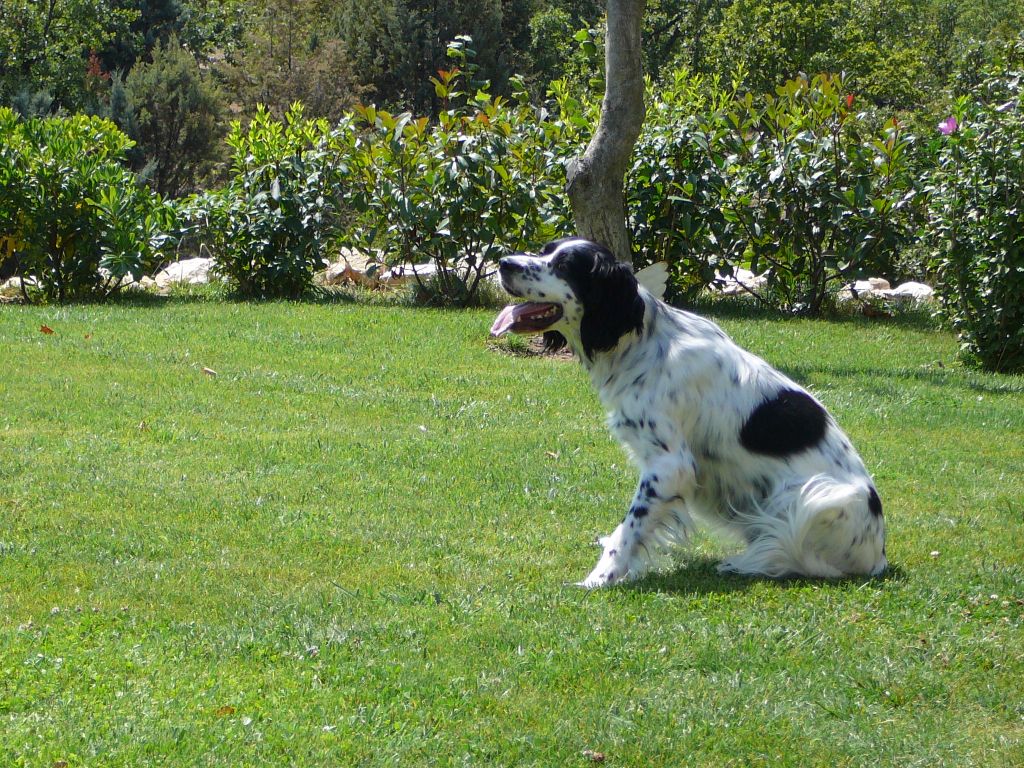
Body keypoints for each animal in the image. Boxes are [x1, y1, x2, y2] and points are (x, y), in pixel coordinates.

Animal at [491, 237, 884, 585]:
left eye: (564, 266)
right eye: (543, 251)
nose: (503, 262)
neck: (643, 344)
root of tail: (877, 555)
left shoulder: (669, 466)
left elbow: (630, 529)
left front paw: (601, 578)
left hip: (813, 498)